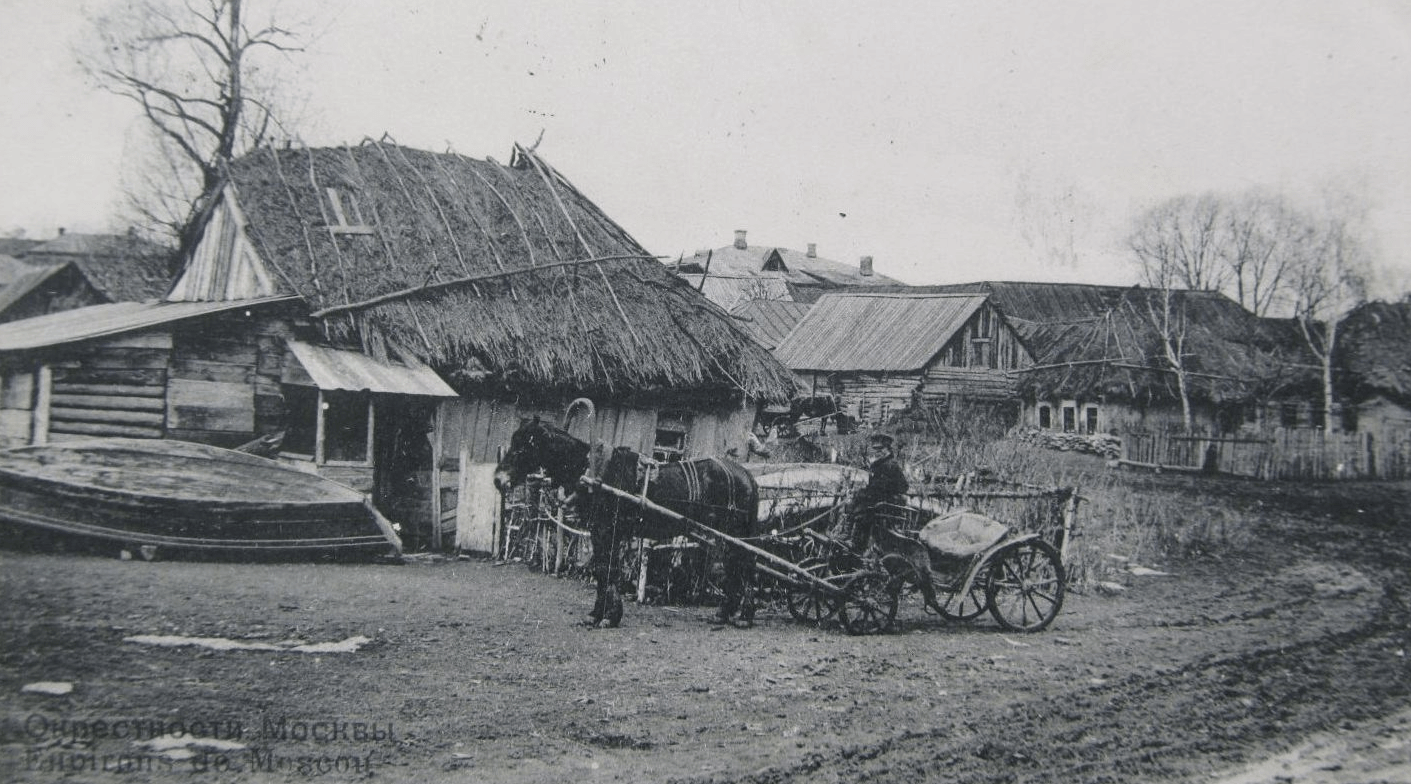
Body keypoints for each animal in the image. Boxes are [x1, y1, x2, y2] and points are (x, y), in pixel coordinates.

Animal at [496, 420, 761, 628]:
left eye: (524, 446)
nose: (498, 479)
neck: (594, 472)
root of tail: (746, 474)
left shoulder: (608, 530)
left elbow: (608, 569)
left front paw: (609, 616)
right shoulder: (598, 531)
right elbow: (600, 569)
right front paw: (596, 614)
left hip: (735, 535)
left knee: (746, 567)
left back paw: (744, 616)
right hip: (727, 537)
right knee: (735, 568)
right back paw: (725, 613)